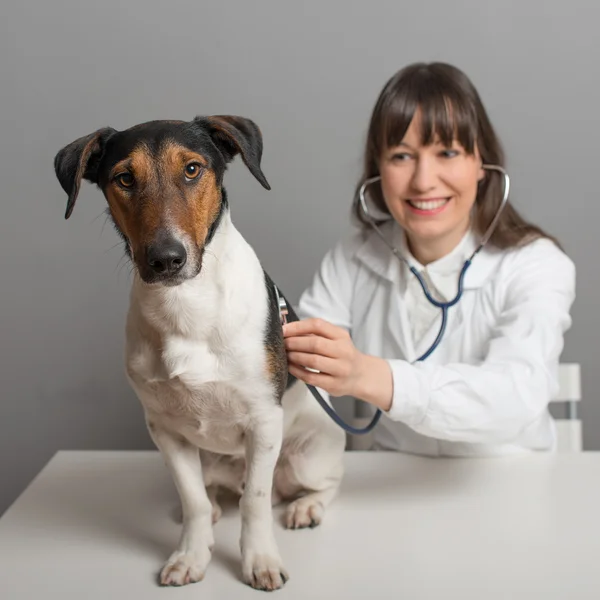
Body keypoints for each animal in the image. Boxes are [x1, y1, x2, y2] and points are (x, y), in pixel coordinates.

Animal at [56, 116, 350, 592]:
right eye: (124, 178)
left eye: (193, 169)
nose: (165, 259)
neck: (186, 307)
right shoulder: (164, 429)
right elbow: (191, 498)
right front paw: (191, 554)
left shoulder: (263, 421)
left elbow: (255, 502)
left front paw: (260, 559)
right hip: (206, 457)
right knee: (208, 491)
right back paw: (213, 504)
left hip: (309, 453)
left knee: (322, 484)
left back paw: (306, 506)